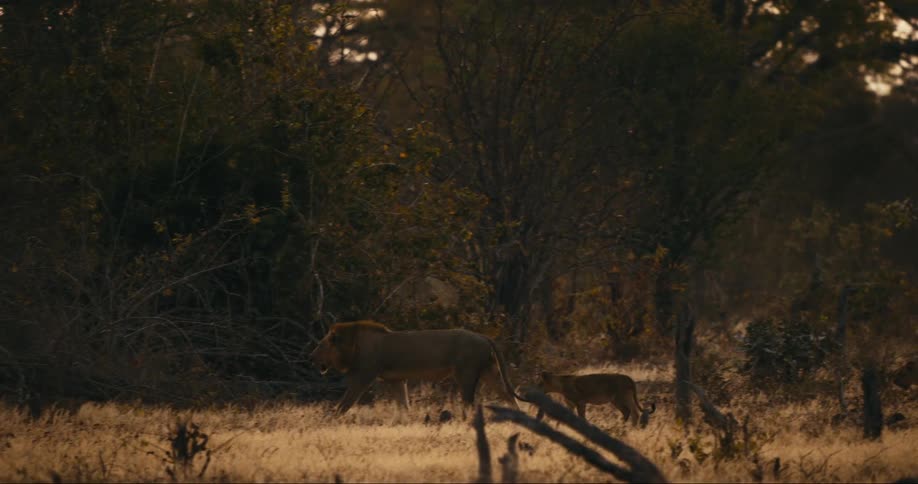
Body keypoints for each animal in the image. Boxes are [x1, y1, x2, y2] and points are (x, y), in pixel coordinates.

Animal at [309, 320, 527, 415]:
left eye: (321, 345)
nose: (311, 357)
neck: (352, 345)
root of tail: (484, 336)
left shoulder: (364, 376)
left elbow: (345, 402)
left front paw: (331, 419)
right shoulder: (396, 380)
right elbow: (404, 404)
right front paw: (407, 420)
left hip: (465, 373)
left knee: (468, 402)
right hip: (491, 372)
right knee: (508, 396)